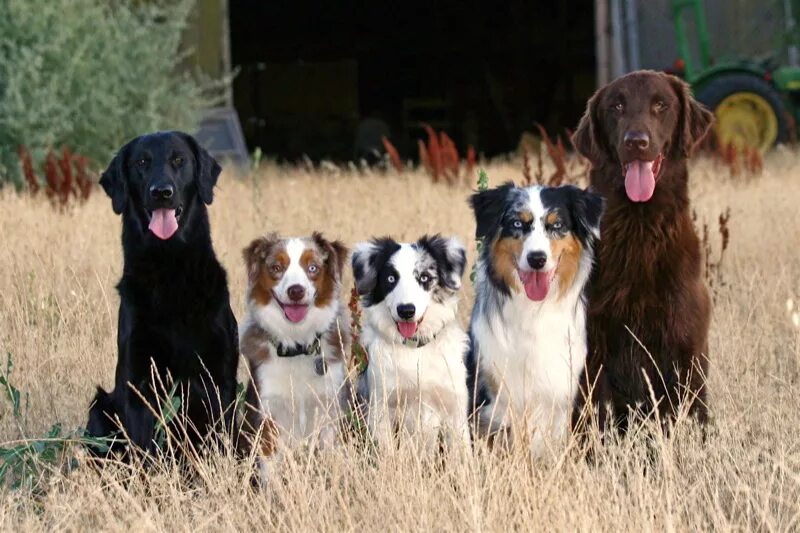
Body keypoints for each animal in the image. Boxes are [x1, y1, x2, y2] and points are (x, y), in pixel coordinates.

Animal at [87, 131, 239, 456]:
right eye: (142, 162)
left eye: (178, 160)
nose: (162, 192)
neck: (170, 268)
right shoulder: (139, 378)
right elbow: (145, 446)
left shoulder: (219, 376)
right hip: (100, 406)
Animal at [354, 236, 472, 448]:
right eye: (390, 279)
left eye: (424, 278)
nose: (406, 310)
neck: (415, 349)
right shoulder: (382, 408)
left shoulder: (454, 408)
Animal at [466, 183, 604, 454]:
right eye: (517, 223)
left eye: (557, 225)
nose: (537, 258)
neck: (533, 310)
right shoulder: (497, 396)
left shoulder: (558, 394)